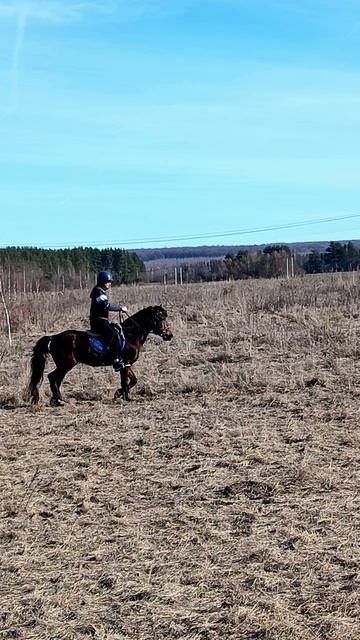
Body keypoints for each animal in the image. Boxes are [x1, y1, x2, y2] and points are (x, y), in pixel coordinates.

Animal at [27, 304, 173, 404]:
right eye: (160, 317)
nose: (169, 335)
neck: (131, 335)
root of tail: (54, 337)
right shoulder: (124, 362)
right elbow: (125, 381)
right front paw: (123, 396)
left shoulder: (126, 364)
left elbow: (133, 380)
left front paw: (121, 394)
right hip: (66, 364)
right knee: (52, 377)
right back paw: (58, 400)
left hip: (64, 366)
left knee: (55, 379)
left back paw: (56, 399)